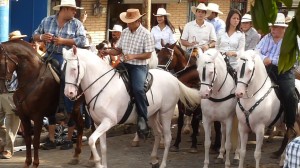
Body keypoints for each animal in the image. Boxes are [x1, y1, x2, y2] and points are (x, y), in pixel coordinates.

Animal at [62, 46, 200, 168]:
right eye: (64, 69)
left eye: (74, 69)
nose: (69, 93)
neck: (101, 86)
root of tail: (174, 78)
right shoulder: (98, 123)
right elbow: (103, 147)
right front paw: (101, 163)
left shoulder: (108, 121)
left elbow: (91, 140)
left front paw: (97, 162)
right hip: (152, 115)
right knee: (158, 133)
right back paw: (154, 159)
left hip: (166, 112)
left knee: (167, 137)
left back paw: (163, 163)